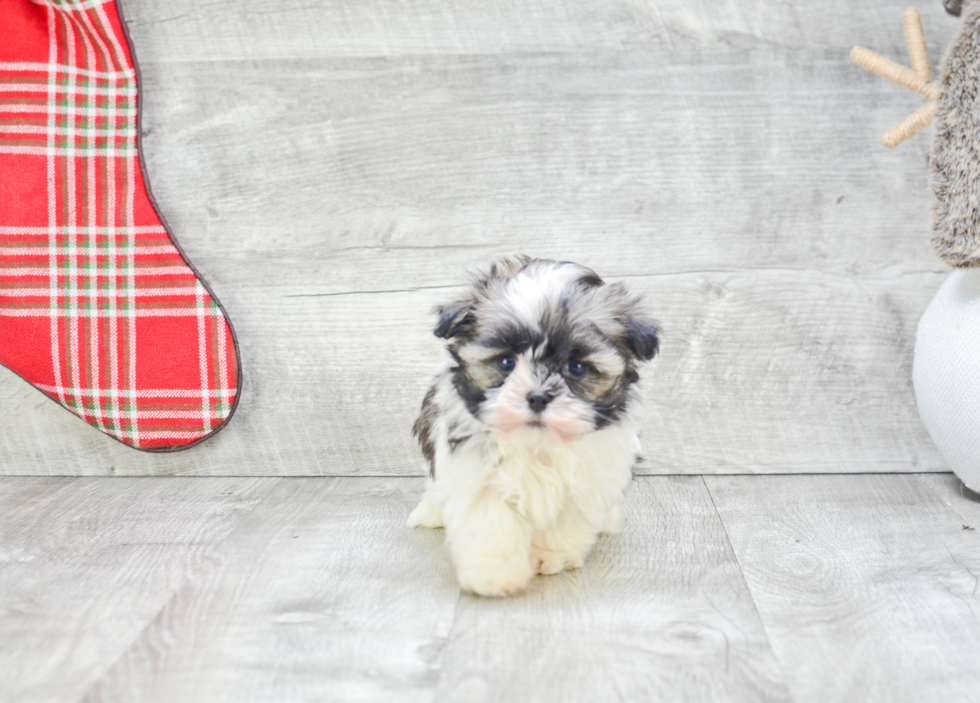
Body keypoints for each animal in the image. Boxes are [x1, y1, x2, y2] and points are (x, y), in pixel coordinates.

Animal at [406, 258, 660, 600]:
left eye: (576, 367)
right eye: (506, 362)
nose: (538, 396)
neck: (536, 443)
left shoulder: (590, 477)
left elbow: (565, 523)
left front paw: (551, 557)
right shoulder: (475, 469)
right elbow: (491, 522)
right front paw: (493, 574)